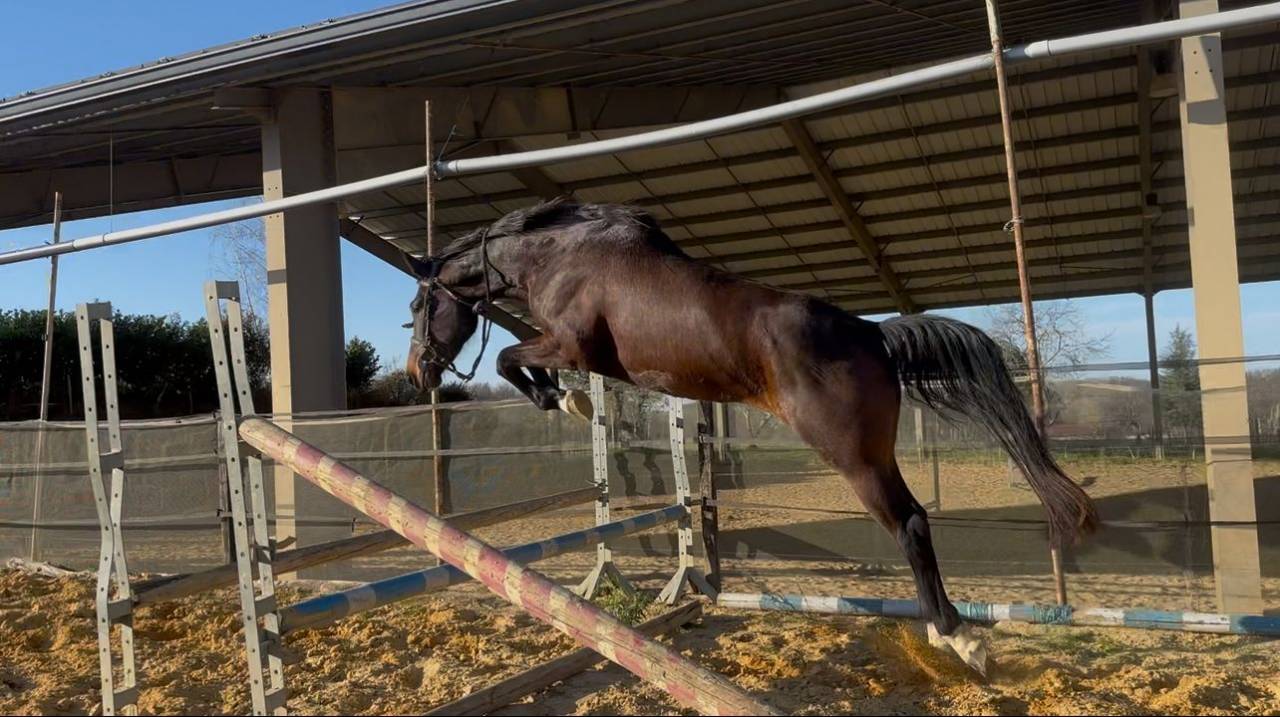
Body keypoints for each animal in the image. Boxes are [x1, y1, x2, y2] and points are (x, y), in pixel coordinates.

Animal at [403, 198, 1098, 673]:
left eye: (417, 307)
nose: (418, 373)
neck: (563, 257)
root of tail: (873, 333)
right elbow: (522, 363)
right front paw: (567, 399)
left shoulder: (571, 343)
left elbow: (508, 358)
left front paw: (560, 398)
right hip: (871, 453)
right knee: (915, 522)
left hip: (853, 457)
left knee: (910, 523)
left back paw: (957, 637)